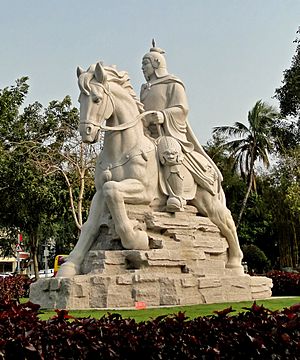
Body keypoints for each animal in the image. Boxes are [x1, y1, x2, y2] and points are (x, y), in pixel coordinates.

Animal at [58, 62, 244, 278]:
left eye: (97, 99)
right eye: (80, 100)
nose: (86, 133)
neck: (122, 149)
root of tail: (212, 169)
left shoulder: (145, 192)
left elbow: (113, 191)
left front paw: (137, 238)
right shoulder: (99, 193)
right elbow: (90, 224)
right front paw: (70, 265)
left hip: (209, 200)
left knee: (228, 221)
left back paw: (235, 265)